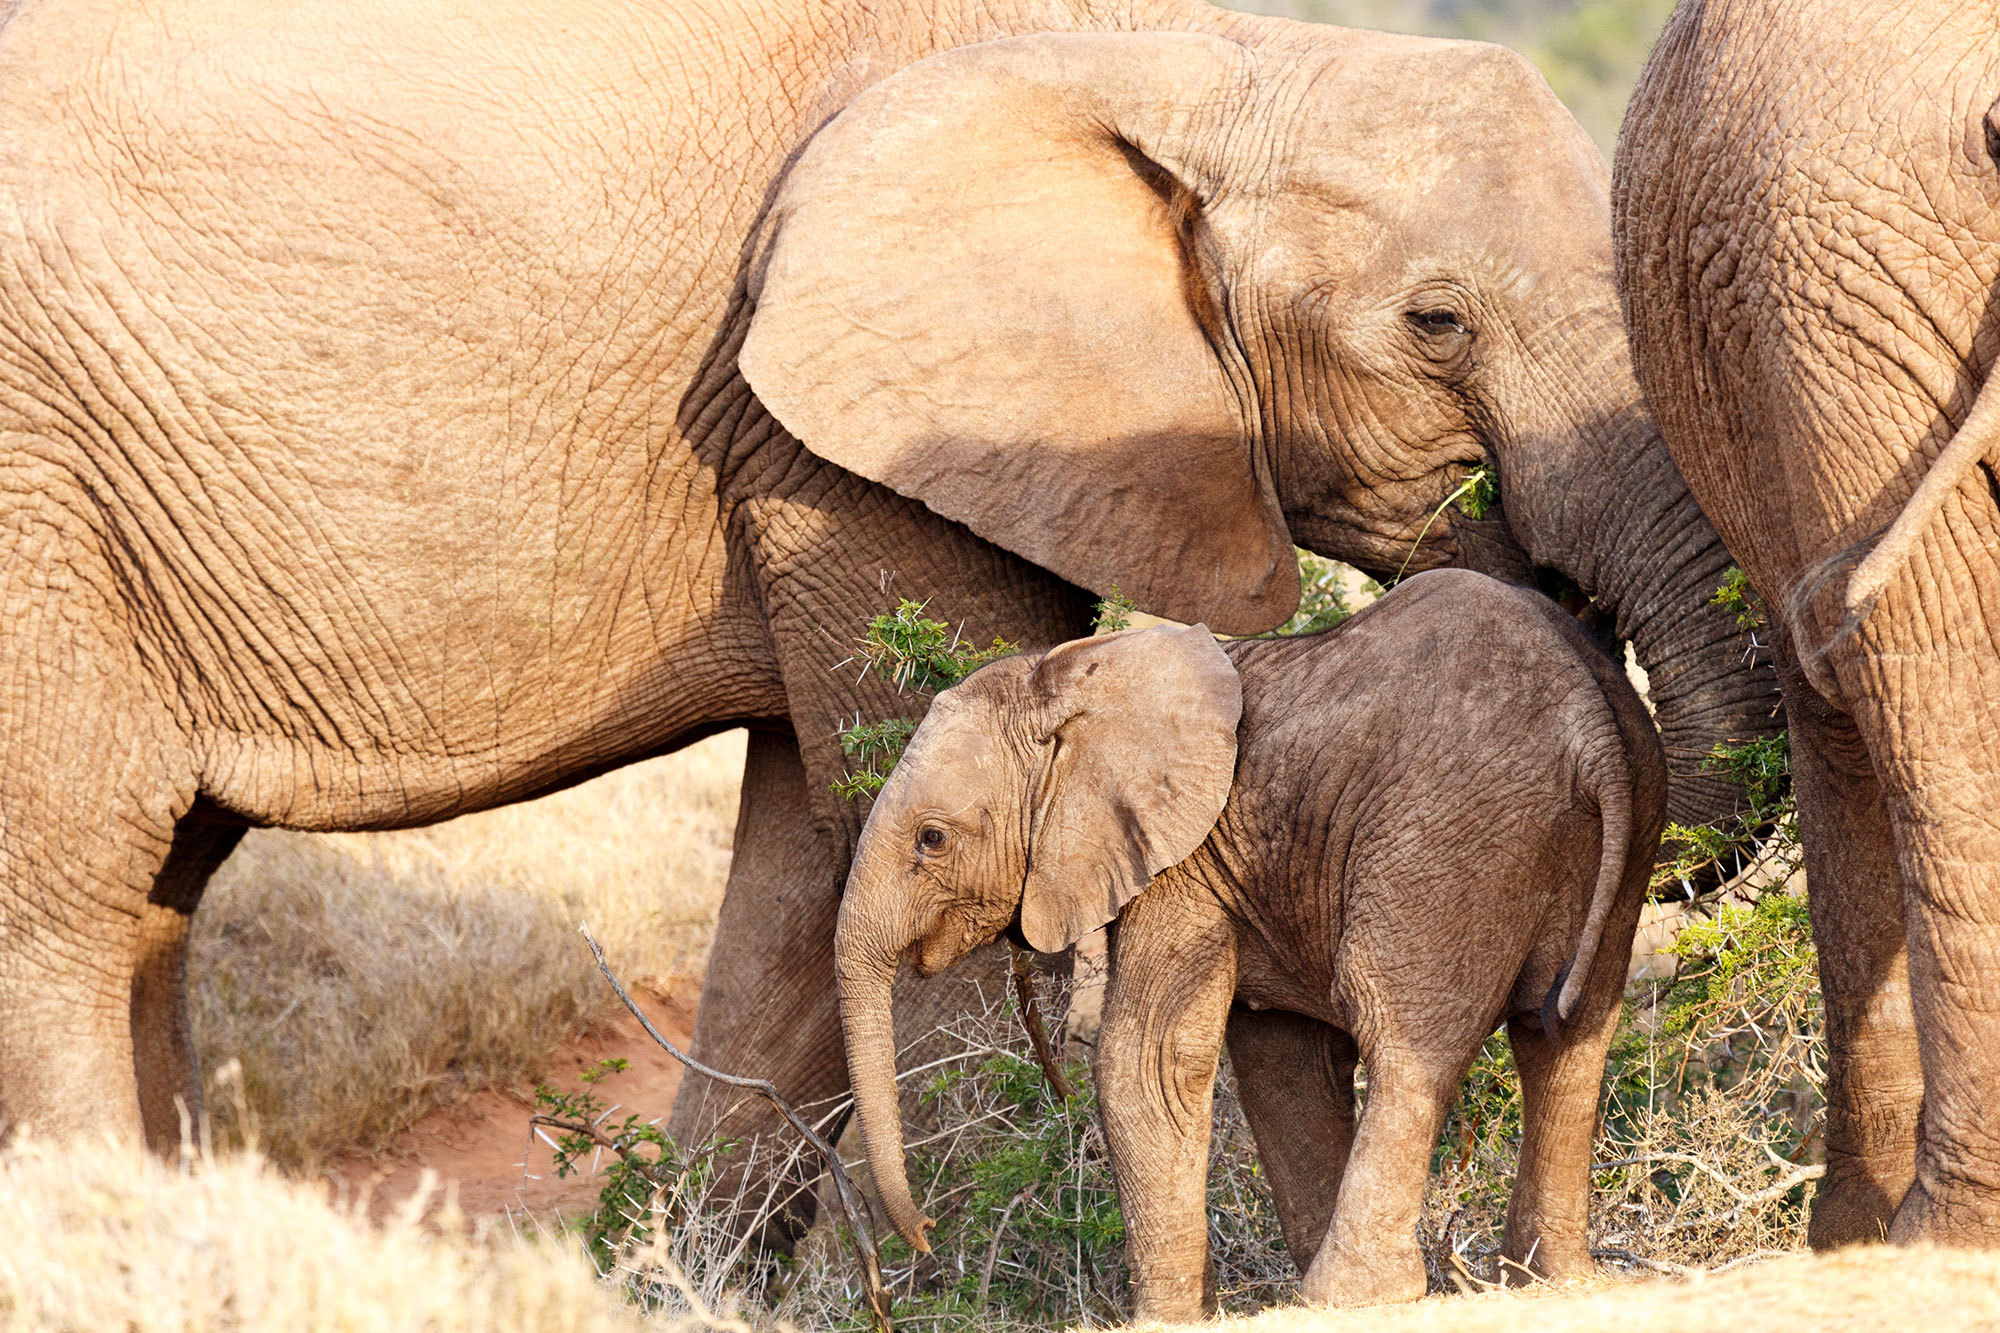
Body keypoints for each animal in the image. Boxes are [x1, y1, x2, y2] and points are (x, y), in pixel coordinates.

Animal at [0, 0, 1773, 1208]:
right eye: (1437, 323)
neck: (1171, 56)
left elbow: (810, 876)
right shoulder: (836, 422)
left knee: (152, 900)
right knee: (69, 904)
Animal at [833, 570, 1667, 1318]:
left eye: (932, 839)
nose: (924, 1238)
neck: (1074, 675)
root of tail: (1590, 719)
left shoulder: (1183, 864)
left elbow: (1146, 1061)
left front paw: (1167, 1316)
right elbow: (1282, 1063)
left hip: (1450, 832)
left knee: (1404, 1038)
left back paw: (1352, 1295)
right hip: (1619, 825)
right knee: (1566, 1036)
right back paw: (1550, 1278)